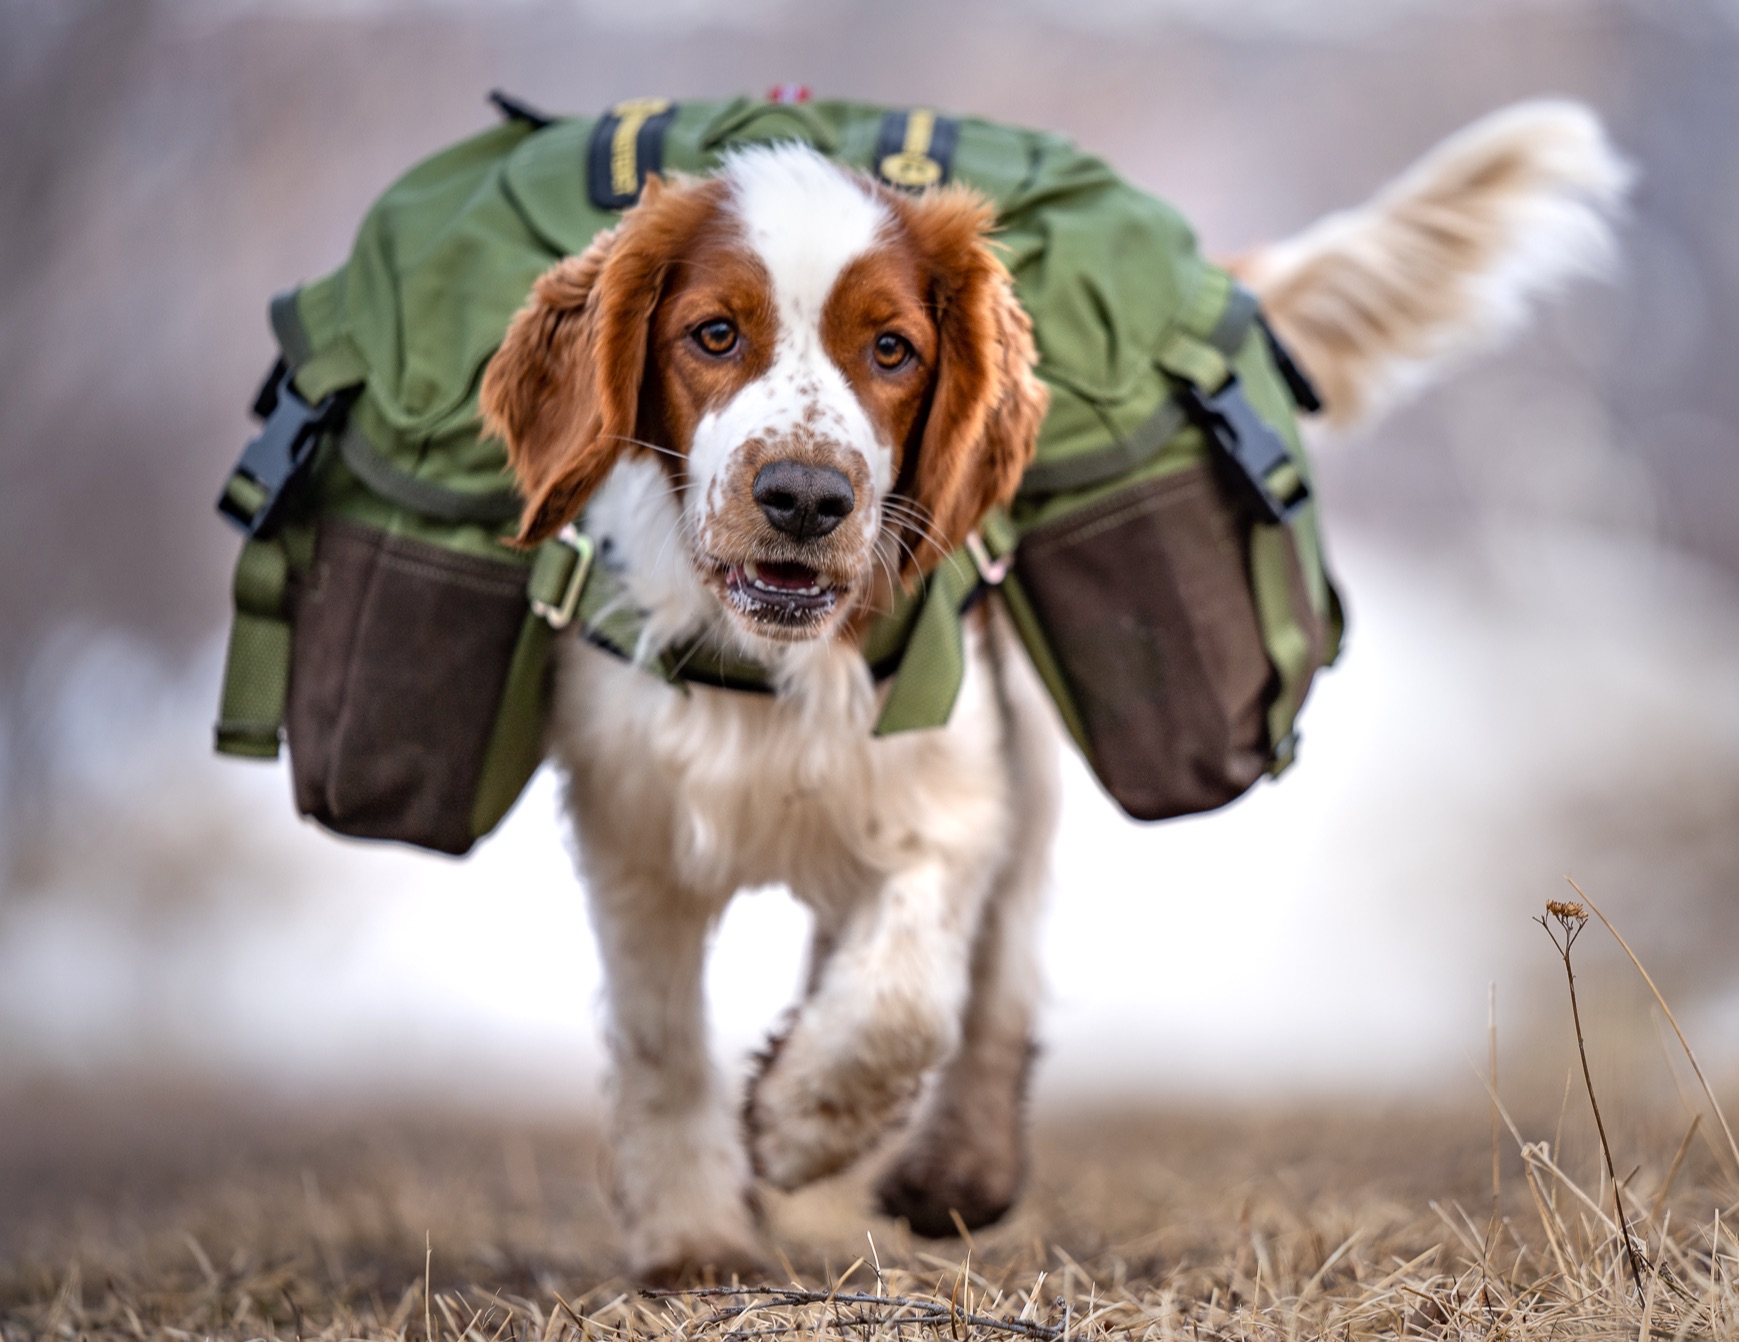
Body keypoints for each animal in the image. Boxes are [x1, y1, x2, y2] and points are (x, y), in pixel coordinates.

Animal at [477, 101, 1627, 1282]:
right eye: (713, 334)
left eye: (890, 348)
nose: (805, 497)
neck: (771, 666)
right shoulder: (631, 833)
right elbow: (660, 1038)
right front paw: (694, 1233)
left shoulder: (953, 783)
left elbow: (908, 1000)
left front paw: (800, 1123)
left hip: (1023, 737)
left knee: (1000, 969)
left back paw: (957, 1163)